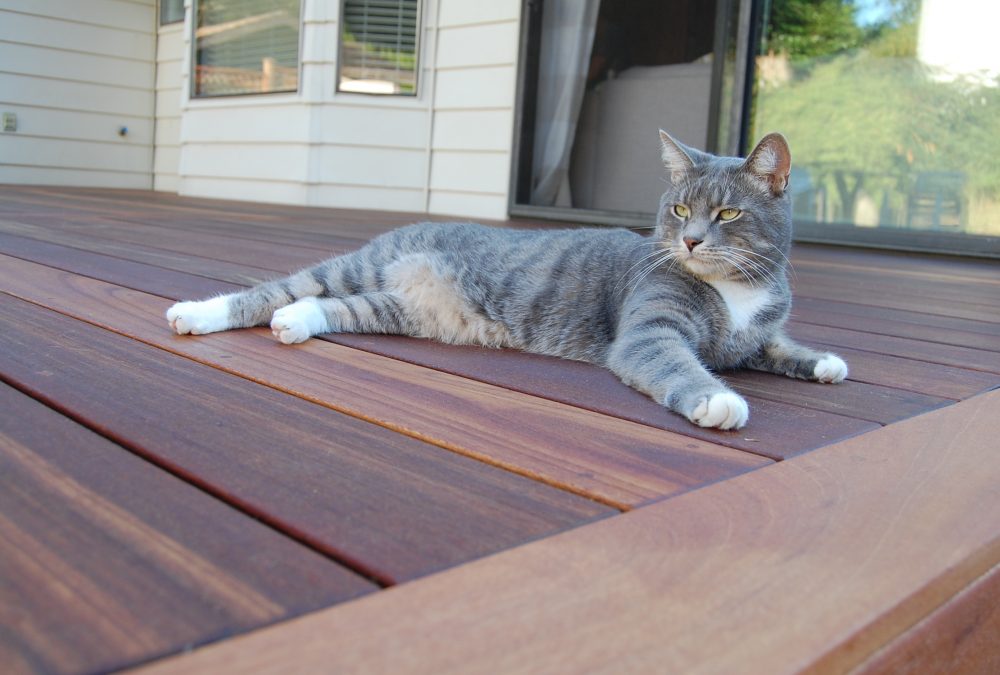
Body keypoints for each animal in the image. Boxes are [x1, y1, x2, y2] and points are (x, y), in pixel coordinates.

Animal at [168, 129, 848, 430]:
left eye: (728, 214)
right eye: (680, 209)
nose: (690, 240)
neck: (737, 290)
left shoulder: (757, 335)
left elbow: (779, 346)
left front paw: (823, 362)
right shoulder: (649, 332)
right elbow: (677, 361)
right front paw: (716, 398)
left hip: (400, 310)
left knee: (324, 306)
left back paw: (295, 324)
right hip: (352, 267)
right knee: (275, 291)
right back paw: (197, 314)